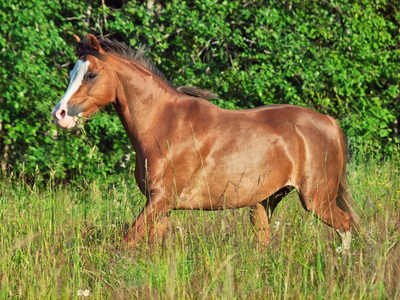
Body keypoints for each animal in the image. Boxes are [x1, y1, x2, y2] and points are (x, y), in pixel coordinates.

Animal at [52, 34, 356, 251]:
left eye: (91, 74)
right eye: (71, 74)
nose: (60, 114)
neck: (164, 124)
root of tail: (328, 121)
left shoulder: (162, 199)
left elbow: (128, 239)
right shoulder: (160, 204)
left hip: (316, 198)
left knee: (346, 224)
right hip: (266, 201)